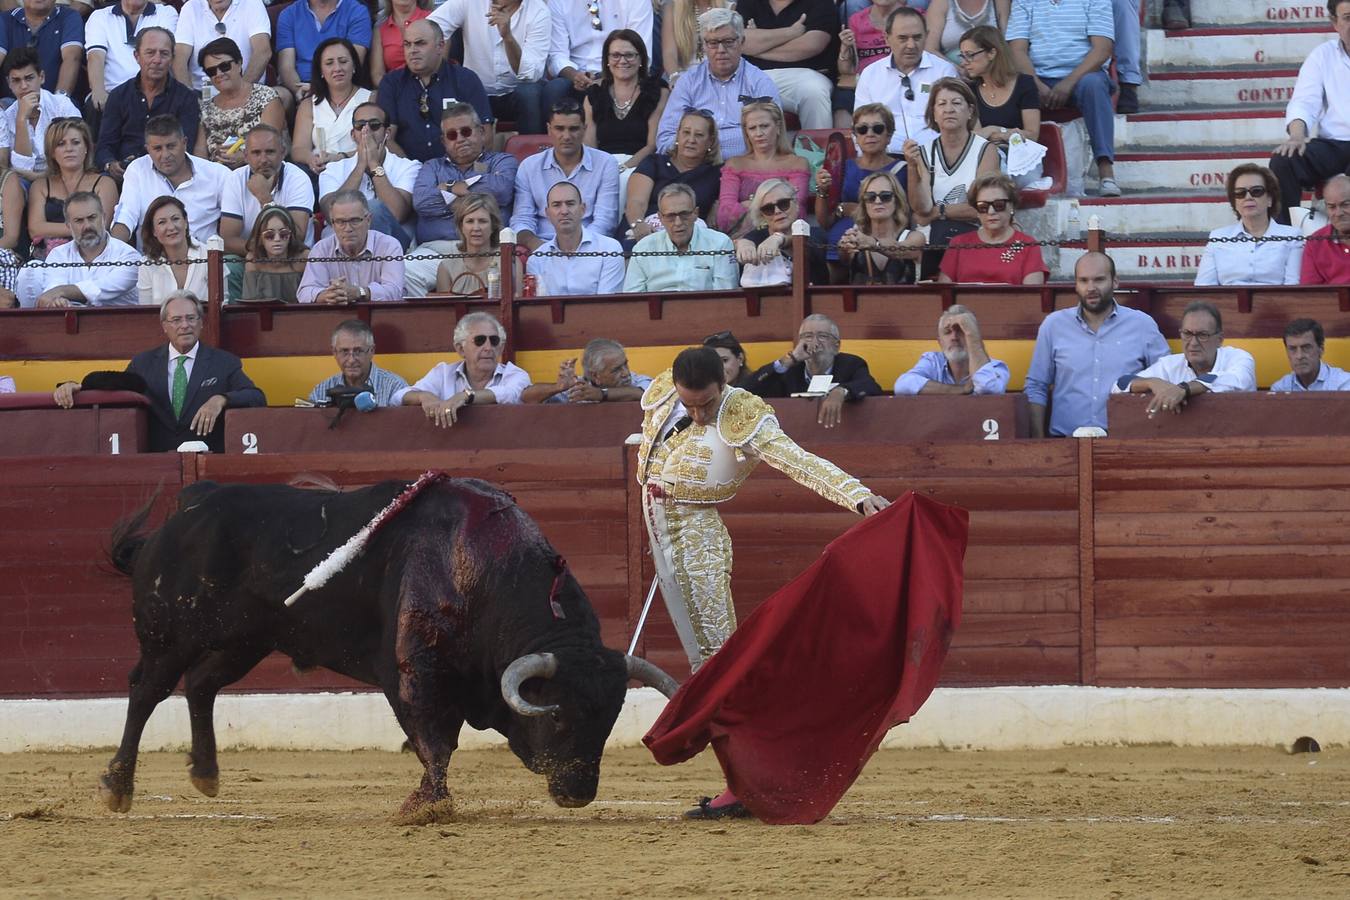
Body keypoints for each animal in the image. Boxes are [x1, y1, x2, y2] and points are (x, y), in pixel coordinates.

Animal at [99, 477, 680, 814]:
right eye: (557, 715)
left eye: (609, 718)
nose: (578, 792)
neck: (482, 572)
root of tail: (186, 510)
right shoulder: (414, 671)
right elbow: (433, 741)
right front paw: (427, 806)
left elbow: (437, 743)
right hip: (171, 635)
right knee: (146, 690)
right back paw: (118, 786)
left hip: (246, 639)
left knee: (200, 685)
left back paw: (205, 774)